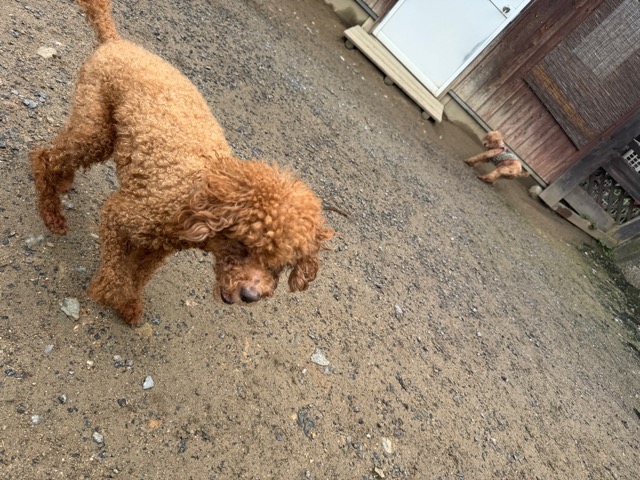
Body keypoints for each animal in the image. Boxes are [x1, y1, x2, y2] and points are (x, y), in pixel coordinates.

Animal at [30, 0, 334, 326]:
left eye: (280, 265)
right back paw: (51, 211)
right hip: (95, 126)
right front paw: (109, 294)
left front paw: (129, 303)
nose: (250, 295)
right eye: (243, 246)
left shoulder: (159, 244)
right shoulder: (120, 215)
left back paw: (63, 183)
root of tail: (117, 42)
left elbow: (139, 274)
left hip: (107, 131)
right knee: (46, 156)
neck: (196, 198)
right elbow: (116, 272)